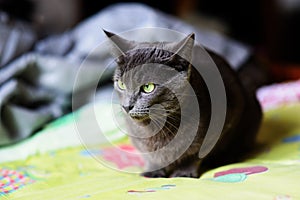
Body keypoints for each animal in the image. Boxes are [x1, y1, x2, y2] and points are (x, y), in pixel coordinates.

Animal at [103, 30, 262, 178]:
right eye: (121, 84)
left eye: (148, 87)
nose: (126, 106)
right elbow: (151, 156)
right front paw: (153, 171)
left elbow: (195, 153)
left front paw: (183, 172)